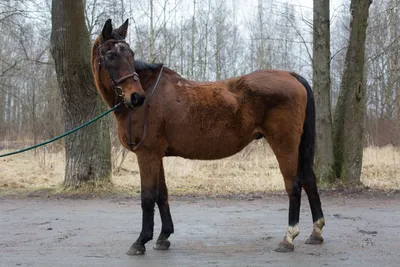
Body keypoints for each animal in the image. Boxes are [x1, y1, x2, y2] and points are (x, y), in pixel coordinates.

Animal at [90, 18, 324, 255]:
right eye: (111, 56)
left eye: (130, 54)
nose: (136, 97)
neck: (150, 98)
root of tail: (290, 75)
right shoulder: (157, 156)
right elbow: (161, 194)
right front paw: (164, 236)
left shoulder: (147, 155)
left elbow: (147, 197)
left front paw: (140, 241)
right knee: (309, 179)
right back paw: (315, 233)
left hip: (284, 144)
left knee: (293, 185)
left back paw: (288, 238)